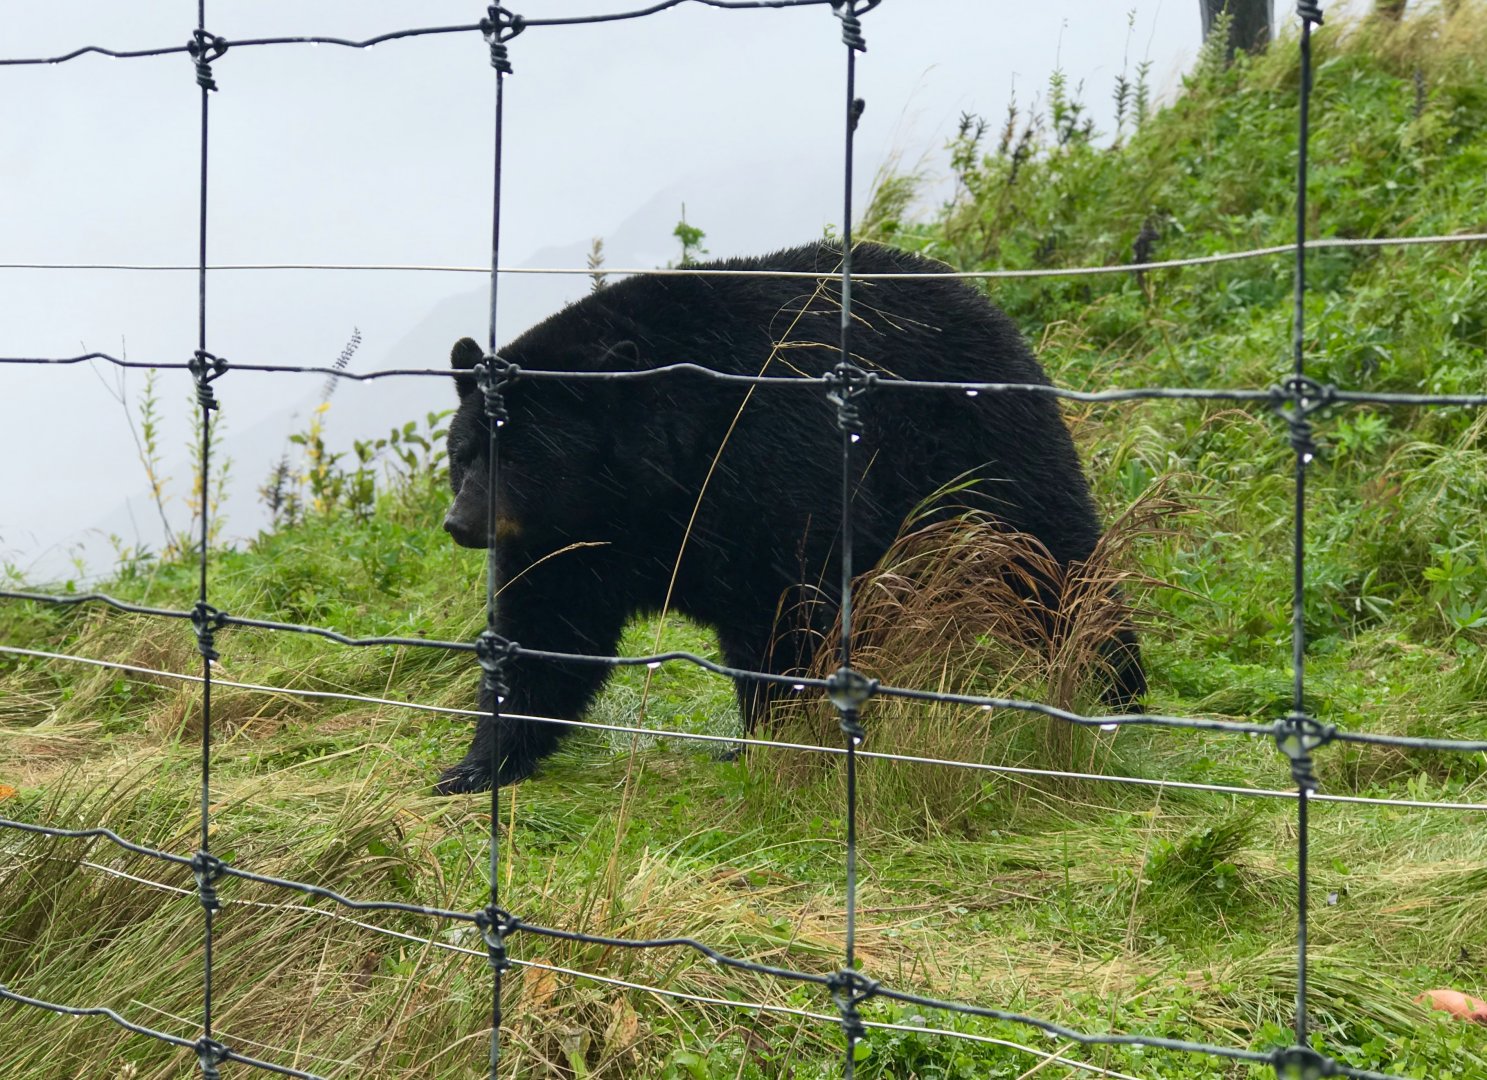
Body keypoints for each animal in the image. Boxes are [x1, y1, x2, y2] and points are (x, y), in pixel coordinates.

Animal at [436, 241, 1143, 794]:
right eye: (463, 452)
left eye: (519, 456)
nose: (460, 523)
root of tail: (980, 297)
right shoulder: (574, 541)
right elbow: (545, 632)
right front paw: (477, 764)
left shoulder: (768, 471)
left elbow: (787, 618)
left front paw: (775, 741)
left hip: (981, 437)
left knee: (1049, 553)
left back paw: (1113, 686)